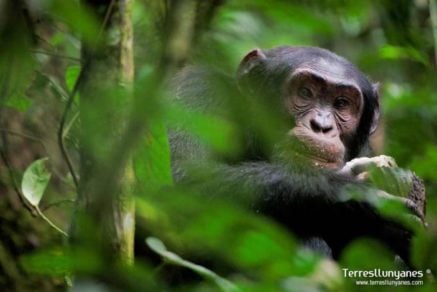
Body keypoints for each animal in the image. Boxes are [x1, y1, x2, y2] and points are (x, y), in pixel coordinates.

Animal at [169, 46, 424, 264]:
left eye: (342, 103)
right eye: (305, 92)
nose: (321, 125)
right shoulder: (197, 91)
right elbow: (181, 179)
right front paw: (361, 200)